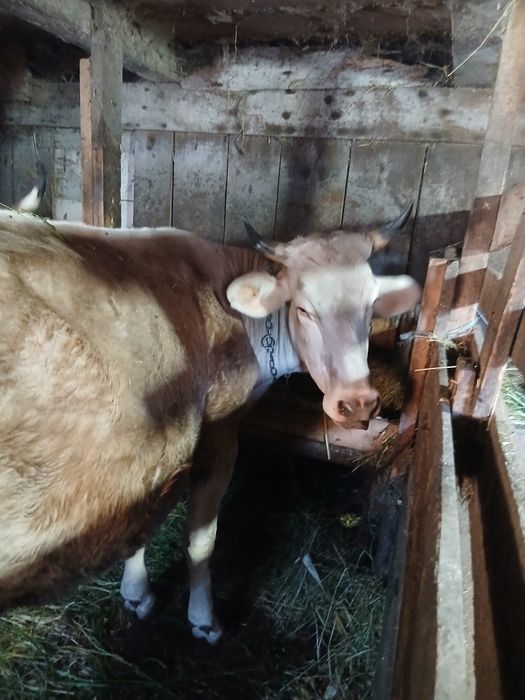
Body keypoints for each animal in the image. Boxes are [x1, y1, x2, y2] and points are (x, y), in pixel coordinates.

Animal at [0, 203, 420, 644]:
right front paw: (202, 617)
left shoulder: (159, 452)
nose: (357, 402)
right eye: (304, 308)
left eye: (371, 306)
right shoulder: (218, 430)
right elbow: (200, 539)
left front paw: (135, 593)